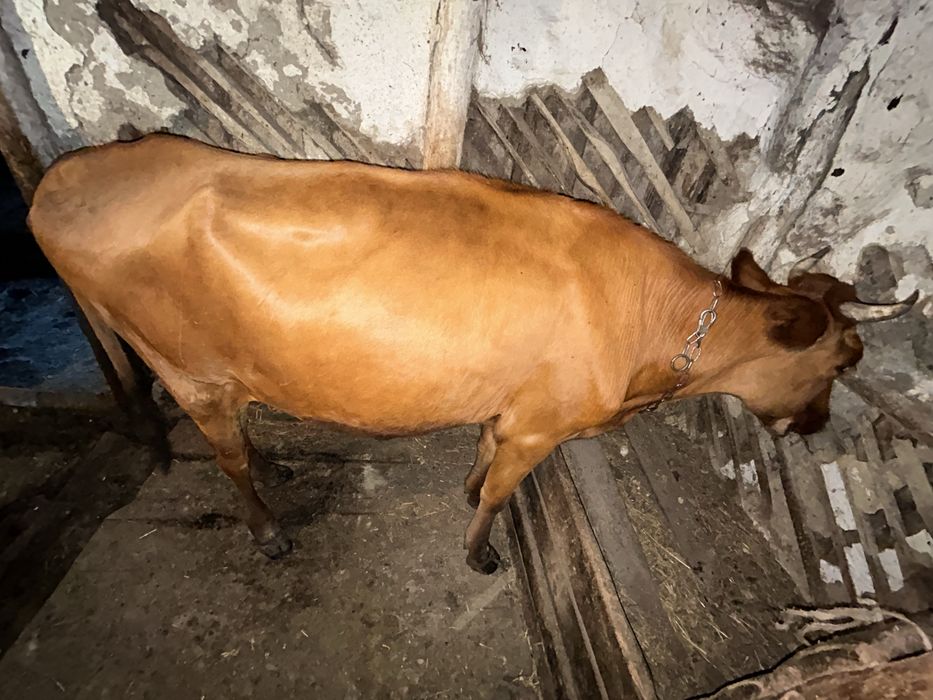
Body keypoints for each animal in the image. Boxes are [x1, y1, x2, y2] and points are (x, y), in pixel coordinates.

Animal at [28, 134, 918, 574]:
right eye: (844, 359)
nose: (815, 427)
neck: (651, 335)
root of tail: (56, 186)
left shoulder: (513, 407)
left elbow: (482, 456)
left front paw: (463, 493)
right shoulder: (542, 425)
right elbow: (500, 491)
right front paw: (480, 551)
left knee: (237, 442)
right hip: (189, 370)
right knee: (227, 456)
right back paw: (269, 528)